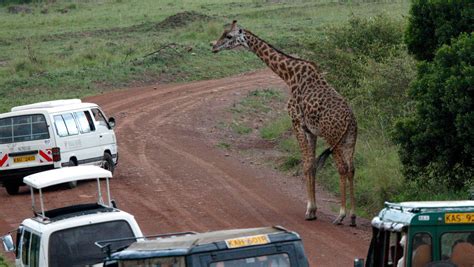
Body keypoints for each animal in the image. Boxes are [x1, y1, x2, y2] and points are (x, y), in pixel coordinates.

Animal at [213, 21, 358, 227]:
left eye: (229, 36)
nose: (214, 47)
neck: (289, 75)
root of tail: (350, 119)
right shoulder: (311, 130)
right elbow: (312, 165)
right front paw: (313, 209)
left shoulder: (296, 122)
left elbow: (306, 165)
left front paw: (309, 211)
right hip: (349, 140)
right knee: (352, 169)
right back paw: (352, 216)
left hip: (333, 138)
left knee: (342, 168)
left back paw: (341, 215)